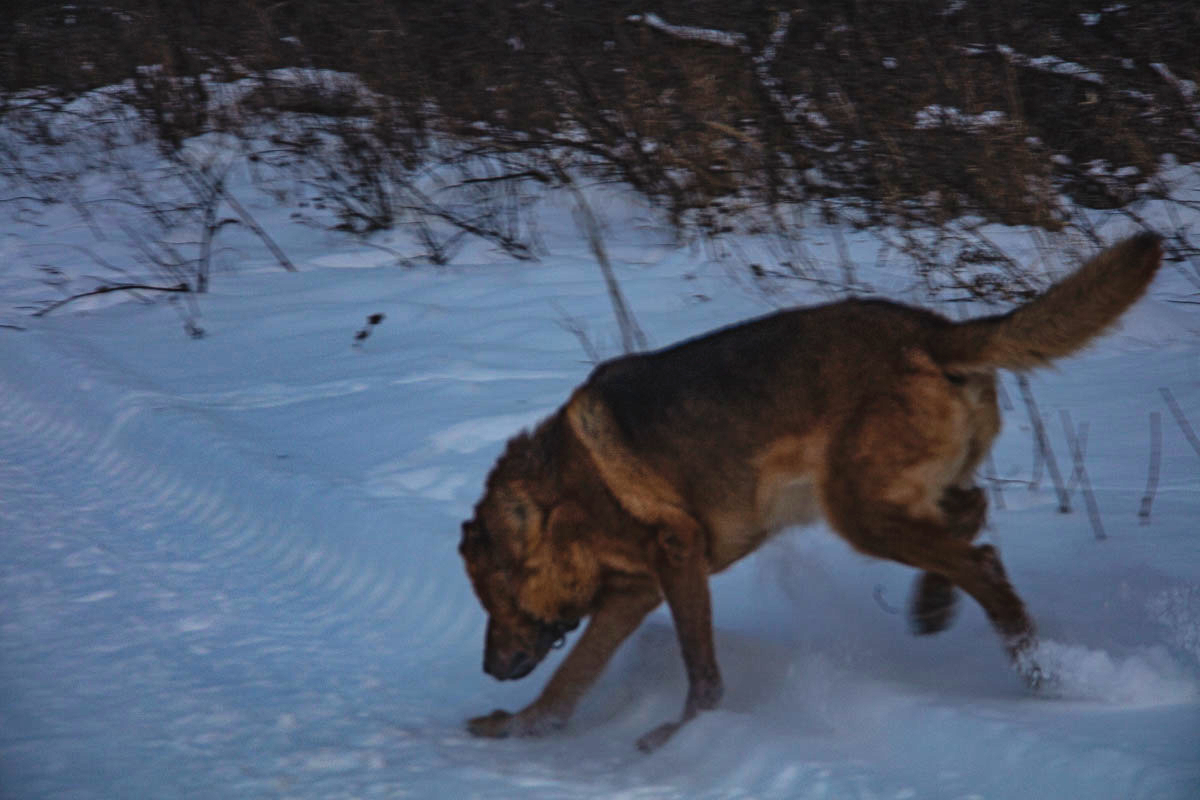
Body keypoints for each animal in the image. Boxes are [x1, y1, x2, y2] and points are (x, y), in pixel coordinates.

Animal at [456, 231, 1161, 753]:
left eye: (493, 597)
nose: (488, 667)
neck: (561, 503)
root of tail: (931, 333)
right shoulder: (634, 594)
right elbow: (567, 684)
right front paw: (517, 729)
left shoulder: (676, 558)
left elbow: (700, 672)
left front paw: (680, 736)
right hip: (890, 498)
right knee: (970, 519)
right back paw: (935, 609)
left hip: (858, 512)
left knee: (982, 561)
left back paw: (1040, 667)